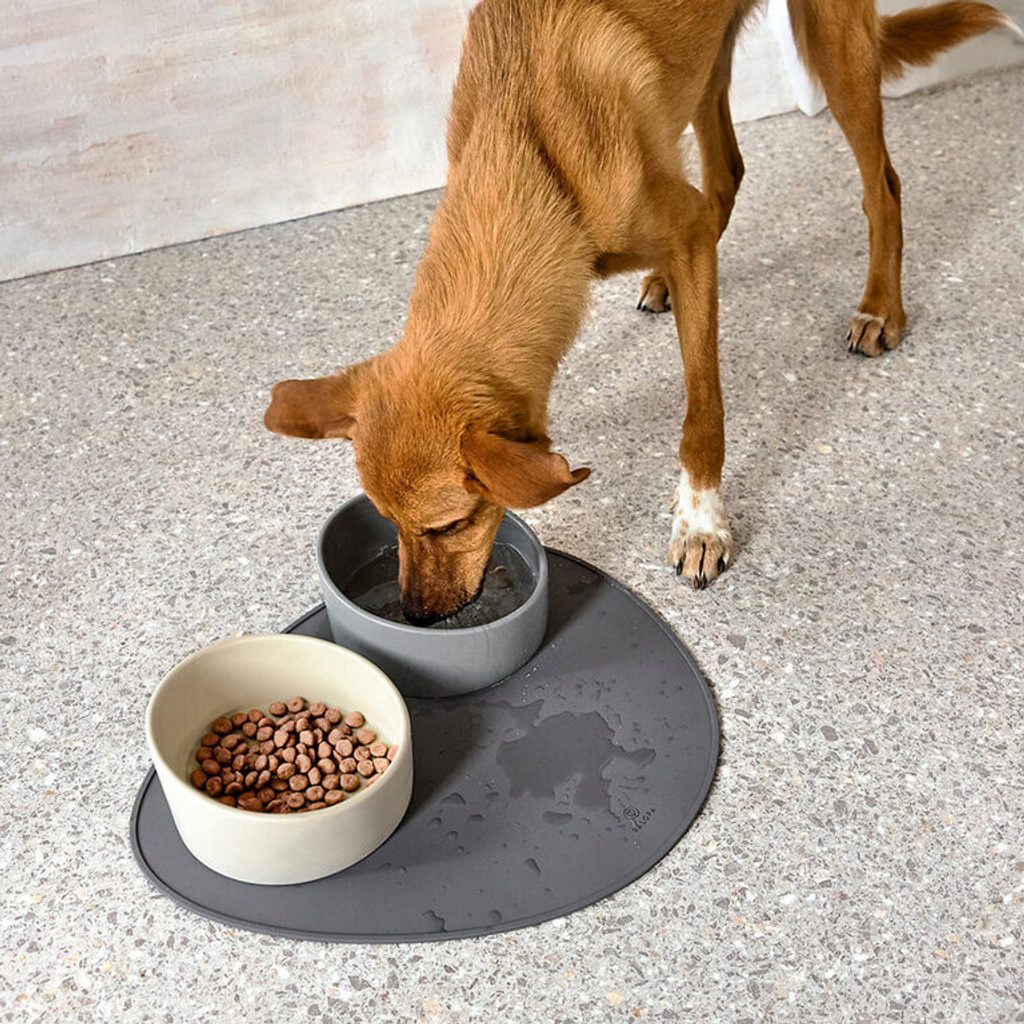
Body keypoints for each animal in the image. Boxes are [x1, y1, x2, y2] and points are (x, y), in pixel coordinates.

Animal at [265, 0, 1018, 622]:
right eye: (384, 519)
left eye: (448, 525)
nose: (416, 616)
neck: (533, 154)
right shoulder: (673, 229)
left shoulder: (685, 234)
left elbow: (703, 410)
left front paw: (702, 522)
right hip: (703, 70)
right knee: (728, 172)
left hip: (833, 48)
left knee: (881, 184)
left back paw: (881, 305)